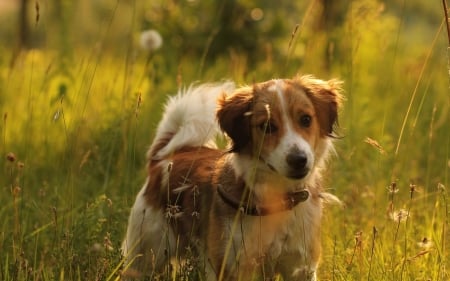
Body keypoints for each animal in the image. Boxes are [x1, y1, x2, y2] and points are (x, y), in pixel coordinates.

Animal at [121, 75, 342, 280]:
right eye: (267, 126)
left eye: (306, 119)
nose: (299, 160)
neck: (276, 201)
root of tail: (168, 156)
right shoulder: (230, 266)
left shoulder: (300, 267)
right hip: (146, 255)